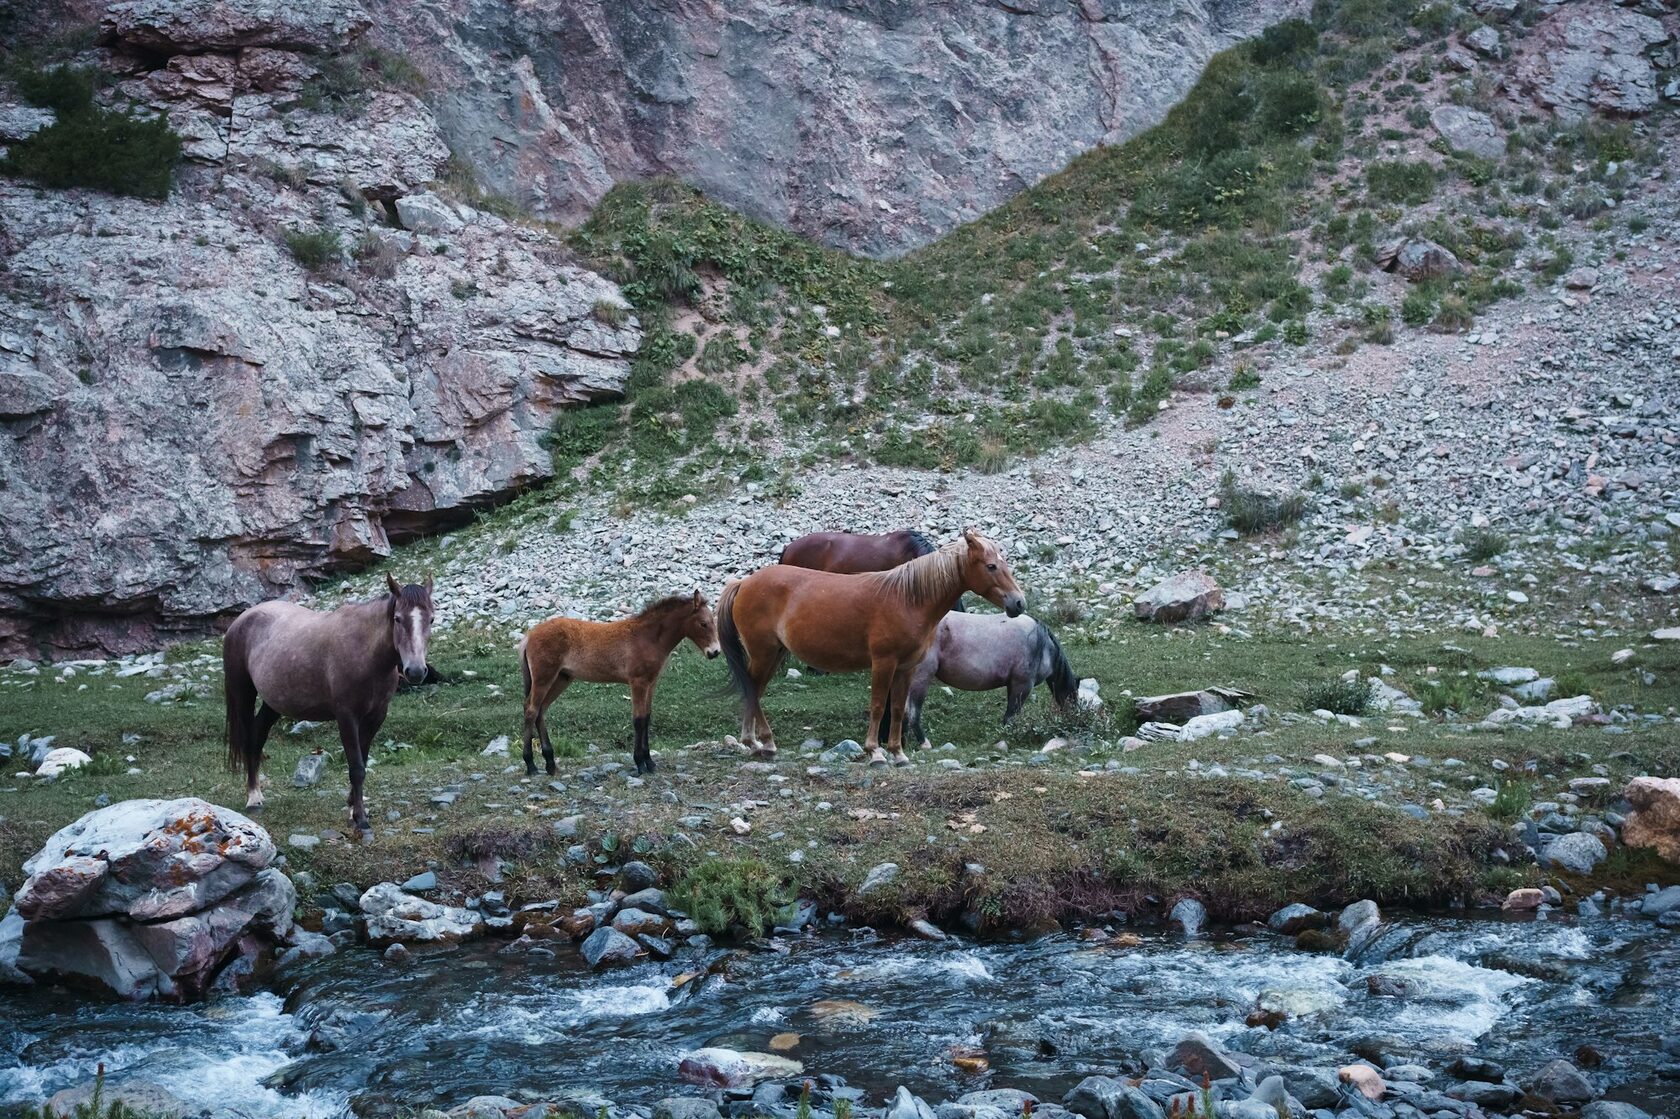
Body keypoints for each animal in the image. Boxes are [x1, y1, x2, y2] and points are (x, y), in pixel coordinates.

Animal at [224, 574, 433, 833]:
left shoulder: (375, 717)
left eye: (431, 619)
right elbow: (356, 768)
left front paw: (353, 809)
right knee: (248, 739)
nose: (416, 671)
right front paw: (360, 819)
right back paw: (253, 797)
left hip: (273, 703)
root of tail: (241, 619)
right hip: (243, 694)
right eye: (398, 619)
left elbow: (362, 761)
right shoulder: (347, 717)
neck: (365, 652)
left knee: (257, 737)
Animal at [519, 590, 721, 777]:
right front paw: (640, 763)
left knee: (541, 710)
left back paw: (550, 763)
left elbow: (647, 718)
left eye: (714, 621)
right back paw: (531, 765)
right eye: (703, 623)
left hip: (561, 679)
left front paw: (650, 763)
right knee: (531, 710)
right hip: (544, 678)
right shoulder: (638, 682)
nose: (715, 652)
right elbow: (638, 720)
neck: (648, 638)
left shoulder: (651, 683)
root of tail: (529, 635)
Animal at [889, 612, 1080, 750]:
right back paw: (924, 743)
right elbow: (1011, 715)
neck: (1041, 643)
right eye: (1073, 697)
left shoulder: (1013, 685)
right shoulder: (1022, 685)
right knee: (913, 713)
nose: (1073, 723)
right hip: (921, 679)